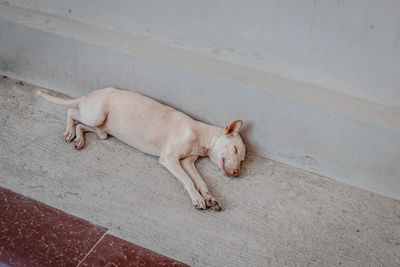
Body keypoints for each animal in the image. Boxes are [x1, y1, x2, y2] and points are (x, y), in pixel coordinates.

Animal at [37, 89, 245, 213]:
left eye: (242, 160)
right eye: (234, 149)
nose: (237, 173)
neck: (200, 135)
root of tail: (91, 93)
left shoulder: (188, 162)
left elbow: (201, 182)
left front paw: (210, 198)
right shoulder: (169, 159)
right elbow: (187, 181)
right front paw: (197, 198)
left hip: (102, 130)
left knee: (82, 126)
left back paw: (79, 138)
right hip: (96, 115)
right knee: (72, 113)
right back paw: (69, 131)